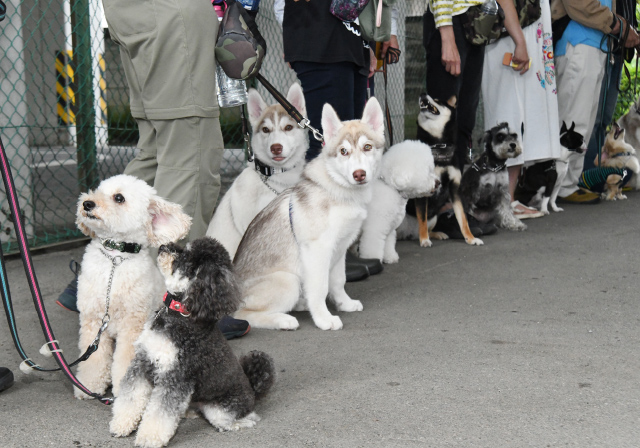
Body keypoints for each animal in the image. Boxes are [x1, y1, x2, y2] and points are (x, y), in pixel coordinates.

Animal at [74, 175, 191, 400]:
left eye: (119, 198)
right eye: (98, 190)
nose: (87, 204)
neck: (115, 258)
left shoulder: (132, 325)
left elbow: (126, 359)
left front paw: (125, 389)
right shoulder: (93, 321)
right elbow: (93, 359)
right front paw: (88, 385)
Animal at [110, 236, 276, 446]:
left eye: (186, 258)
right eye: (185, 246)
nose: (165, 246)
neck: (178, 313)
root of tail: (253, 391)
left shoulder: (176, 377)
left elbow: (159, 413)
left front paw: (149, 438)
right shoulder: (143, 362)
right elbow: (130, 397)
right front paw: (121, 424)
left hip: (220, 409)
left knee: (240, 418)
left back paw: (240, 422)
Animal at [234, 98, 384, 330]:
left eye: (367, 147)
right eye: (343, 151)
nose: (359, 175)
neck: (337, 190)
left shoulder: (340, 248)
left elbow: (338, 281)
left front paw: (344, 303)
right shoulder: (318, 250)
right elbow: (320, 288)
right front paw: (323, 318)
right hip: (288, 280)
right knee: (242, 315)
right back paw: (283, 319)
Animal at [402, 94, 482, 247]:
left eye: (437, 100)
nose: (422, 94)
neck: (438, 146)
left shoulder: (455, 189)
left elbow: (463, 220)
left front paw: (470, 238)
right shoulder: (423, 190)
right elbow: (422, 220)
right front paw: (424, 240)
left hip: (434, 218)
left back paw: (437, 234)